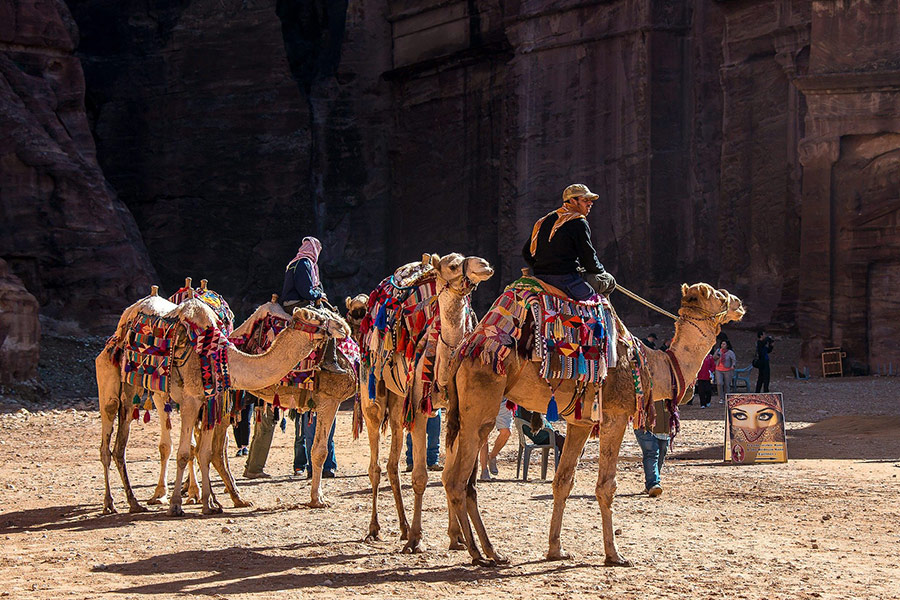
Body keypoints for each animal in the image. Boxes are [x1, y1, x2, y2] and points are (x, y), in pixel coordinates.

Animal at [360, 253, 494, 553]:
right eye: (453, 265)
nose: (484, 265)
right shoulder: (420, 412)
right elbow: (420, 477)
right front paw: (415, 539)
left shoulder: (452, 411)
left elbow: (446, 476)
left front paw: (455, 537)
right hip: (372, 394)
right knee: (375, 466)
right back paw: (375, 528)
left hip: (399, 403)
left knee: (392, 464)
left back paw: (402, 527)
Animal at [441, 282, 744, 566]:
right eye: (719, 296)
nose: (739, 304)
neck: (653, 366)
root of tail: (462, 354)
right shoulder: (615, 415)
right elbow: (606, 486)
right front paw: (615, 555)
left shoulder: (581, 423)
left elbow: (563, 481)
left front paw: (556, 550)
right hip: (481, 404)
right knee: (457, 481)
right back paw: (477, 553)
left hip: (465, 417)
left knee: (458, 480)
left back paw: (490, 551)